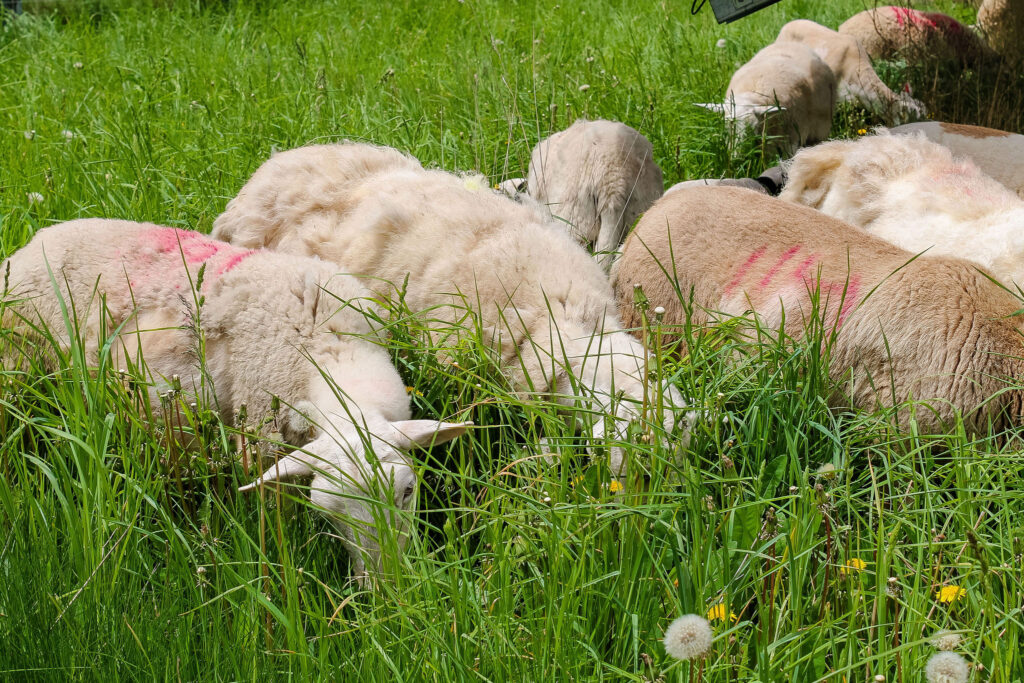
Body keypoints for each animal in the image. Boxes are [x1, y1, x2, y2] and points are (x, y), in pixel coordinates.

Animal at [2, 219, 468, 583]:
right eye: (327, 514)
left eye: (408, 490)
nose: (384, 588)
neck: (326, 343)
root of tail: (34, 241)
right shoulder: (261, 439)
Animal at [698, 41, 837, 156]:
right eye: (727, 125)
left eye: (754, 127)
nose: (738, 156)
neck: (751, 94)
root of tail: (792, 43)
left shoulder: (788, 142)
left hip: (820, 129)